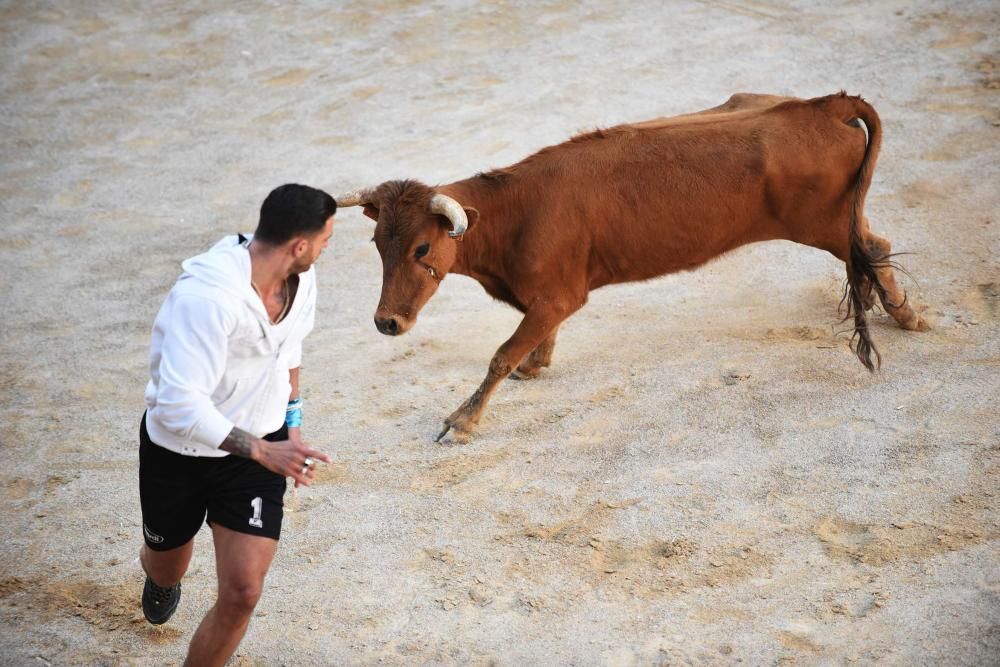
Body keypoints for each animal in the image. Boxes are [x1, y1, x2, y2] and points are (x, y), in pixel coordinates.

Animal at [338, 91, 928, 440]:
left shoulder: (560, 296)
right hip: (838, 221)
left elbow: (502, 353)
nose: (387, 322)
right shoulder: (548, 300)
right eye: (377, 243)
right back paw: (904, 314)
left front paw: (462, 419)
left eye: (422, 249)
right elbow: (529, 341)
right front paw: (537, 361)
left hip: (824, 225)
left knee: (871, 249)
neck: (512, 211)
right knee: (875, 244)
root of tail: (823, 105)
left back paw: (908, 317)